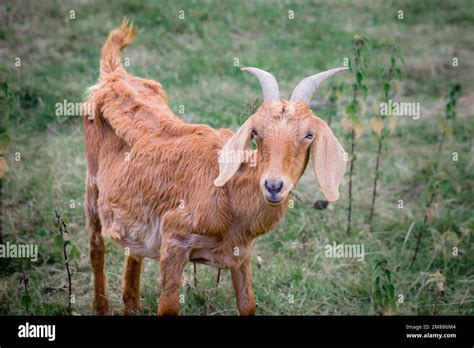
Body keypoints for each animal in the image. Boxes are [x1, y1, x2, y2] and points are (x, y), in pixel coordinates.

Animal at [82, 20, 348, 316]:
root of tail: (114, 76)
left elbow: (247, 304)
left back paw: (131, 304)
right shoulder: (174, 242)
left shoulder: (241, 255)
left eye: (309, 135)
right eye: (256, 132)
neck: (230, 194)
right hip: (92, 186)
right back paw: (100, 306)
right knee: (96, 248)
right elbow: (168, 307)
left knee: (133, 249)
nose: (273, 185)